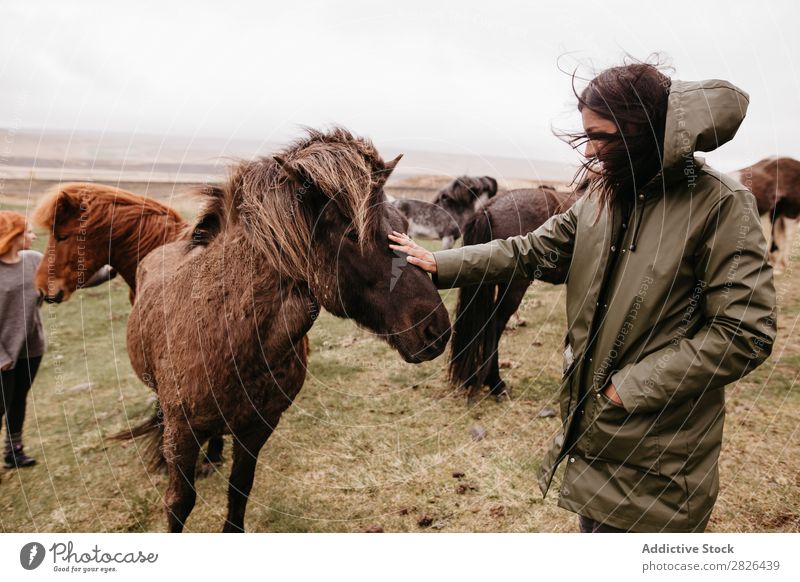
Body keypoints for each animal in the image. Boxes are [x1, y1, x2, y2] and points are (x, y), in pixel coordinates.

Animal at [122, 130, 454, 536]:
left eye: (404, 228)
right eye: (352, 234)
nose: (437, 330)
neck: (229, 334)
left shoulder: (258, 428)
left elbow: (240, 490)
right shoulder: (182, 432)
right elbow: (179, 504)